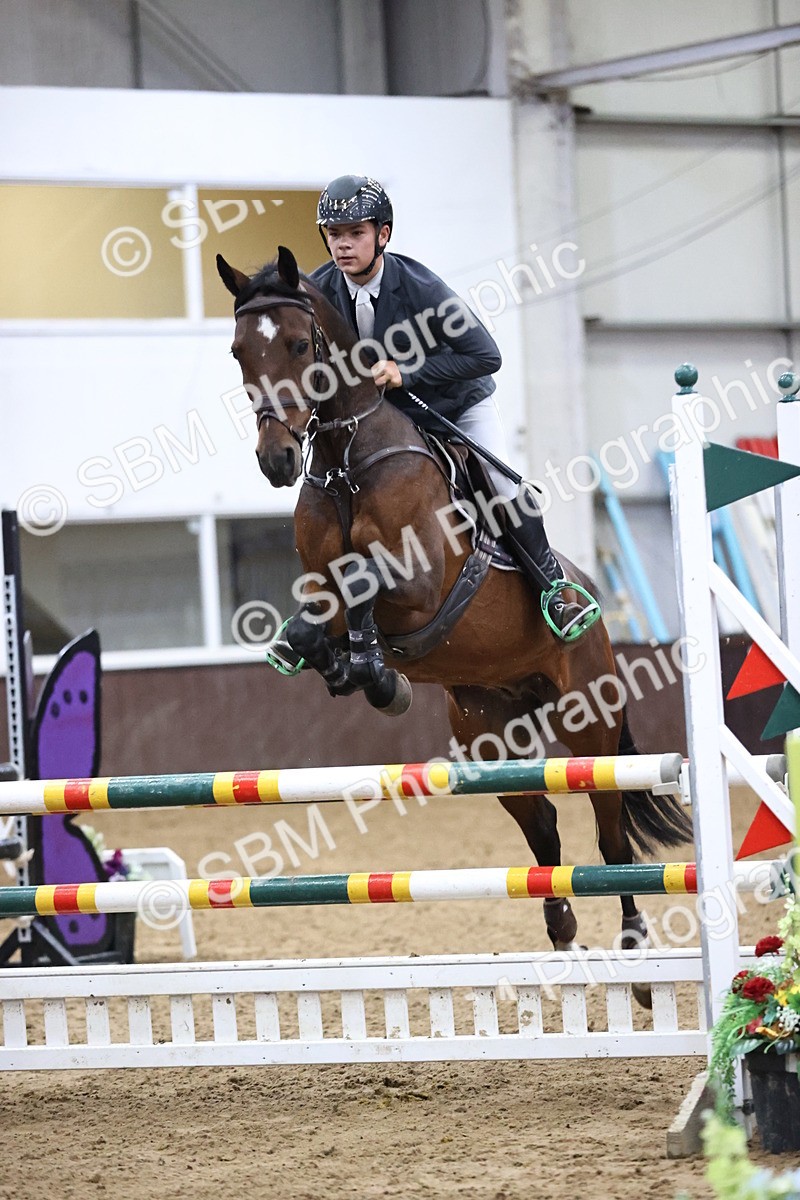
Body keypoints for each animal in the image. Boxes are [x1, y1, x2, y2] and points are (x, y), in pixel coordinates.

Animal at [217, 246, 692, 996]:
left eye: (297, 344)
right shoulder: (321, 581)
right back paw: (562, 934)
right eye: (239, 351)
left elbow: (362, 582)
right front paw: (365, 674)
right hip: (488, 734)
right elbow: (316, 619)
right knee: (544, 828)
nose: (276, 460)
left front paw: (376, 673)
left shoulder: (418, 583)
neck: (348, 460)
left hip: (589, 716)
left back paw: (637, 955)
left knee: (611, 835)